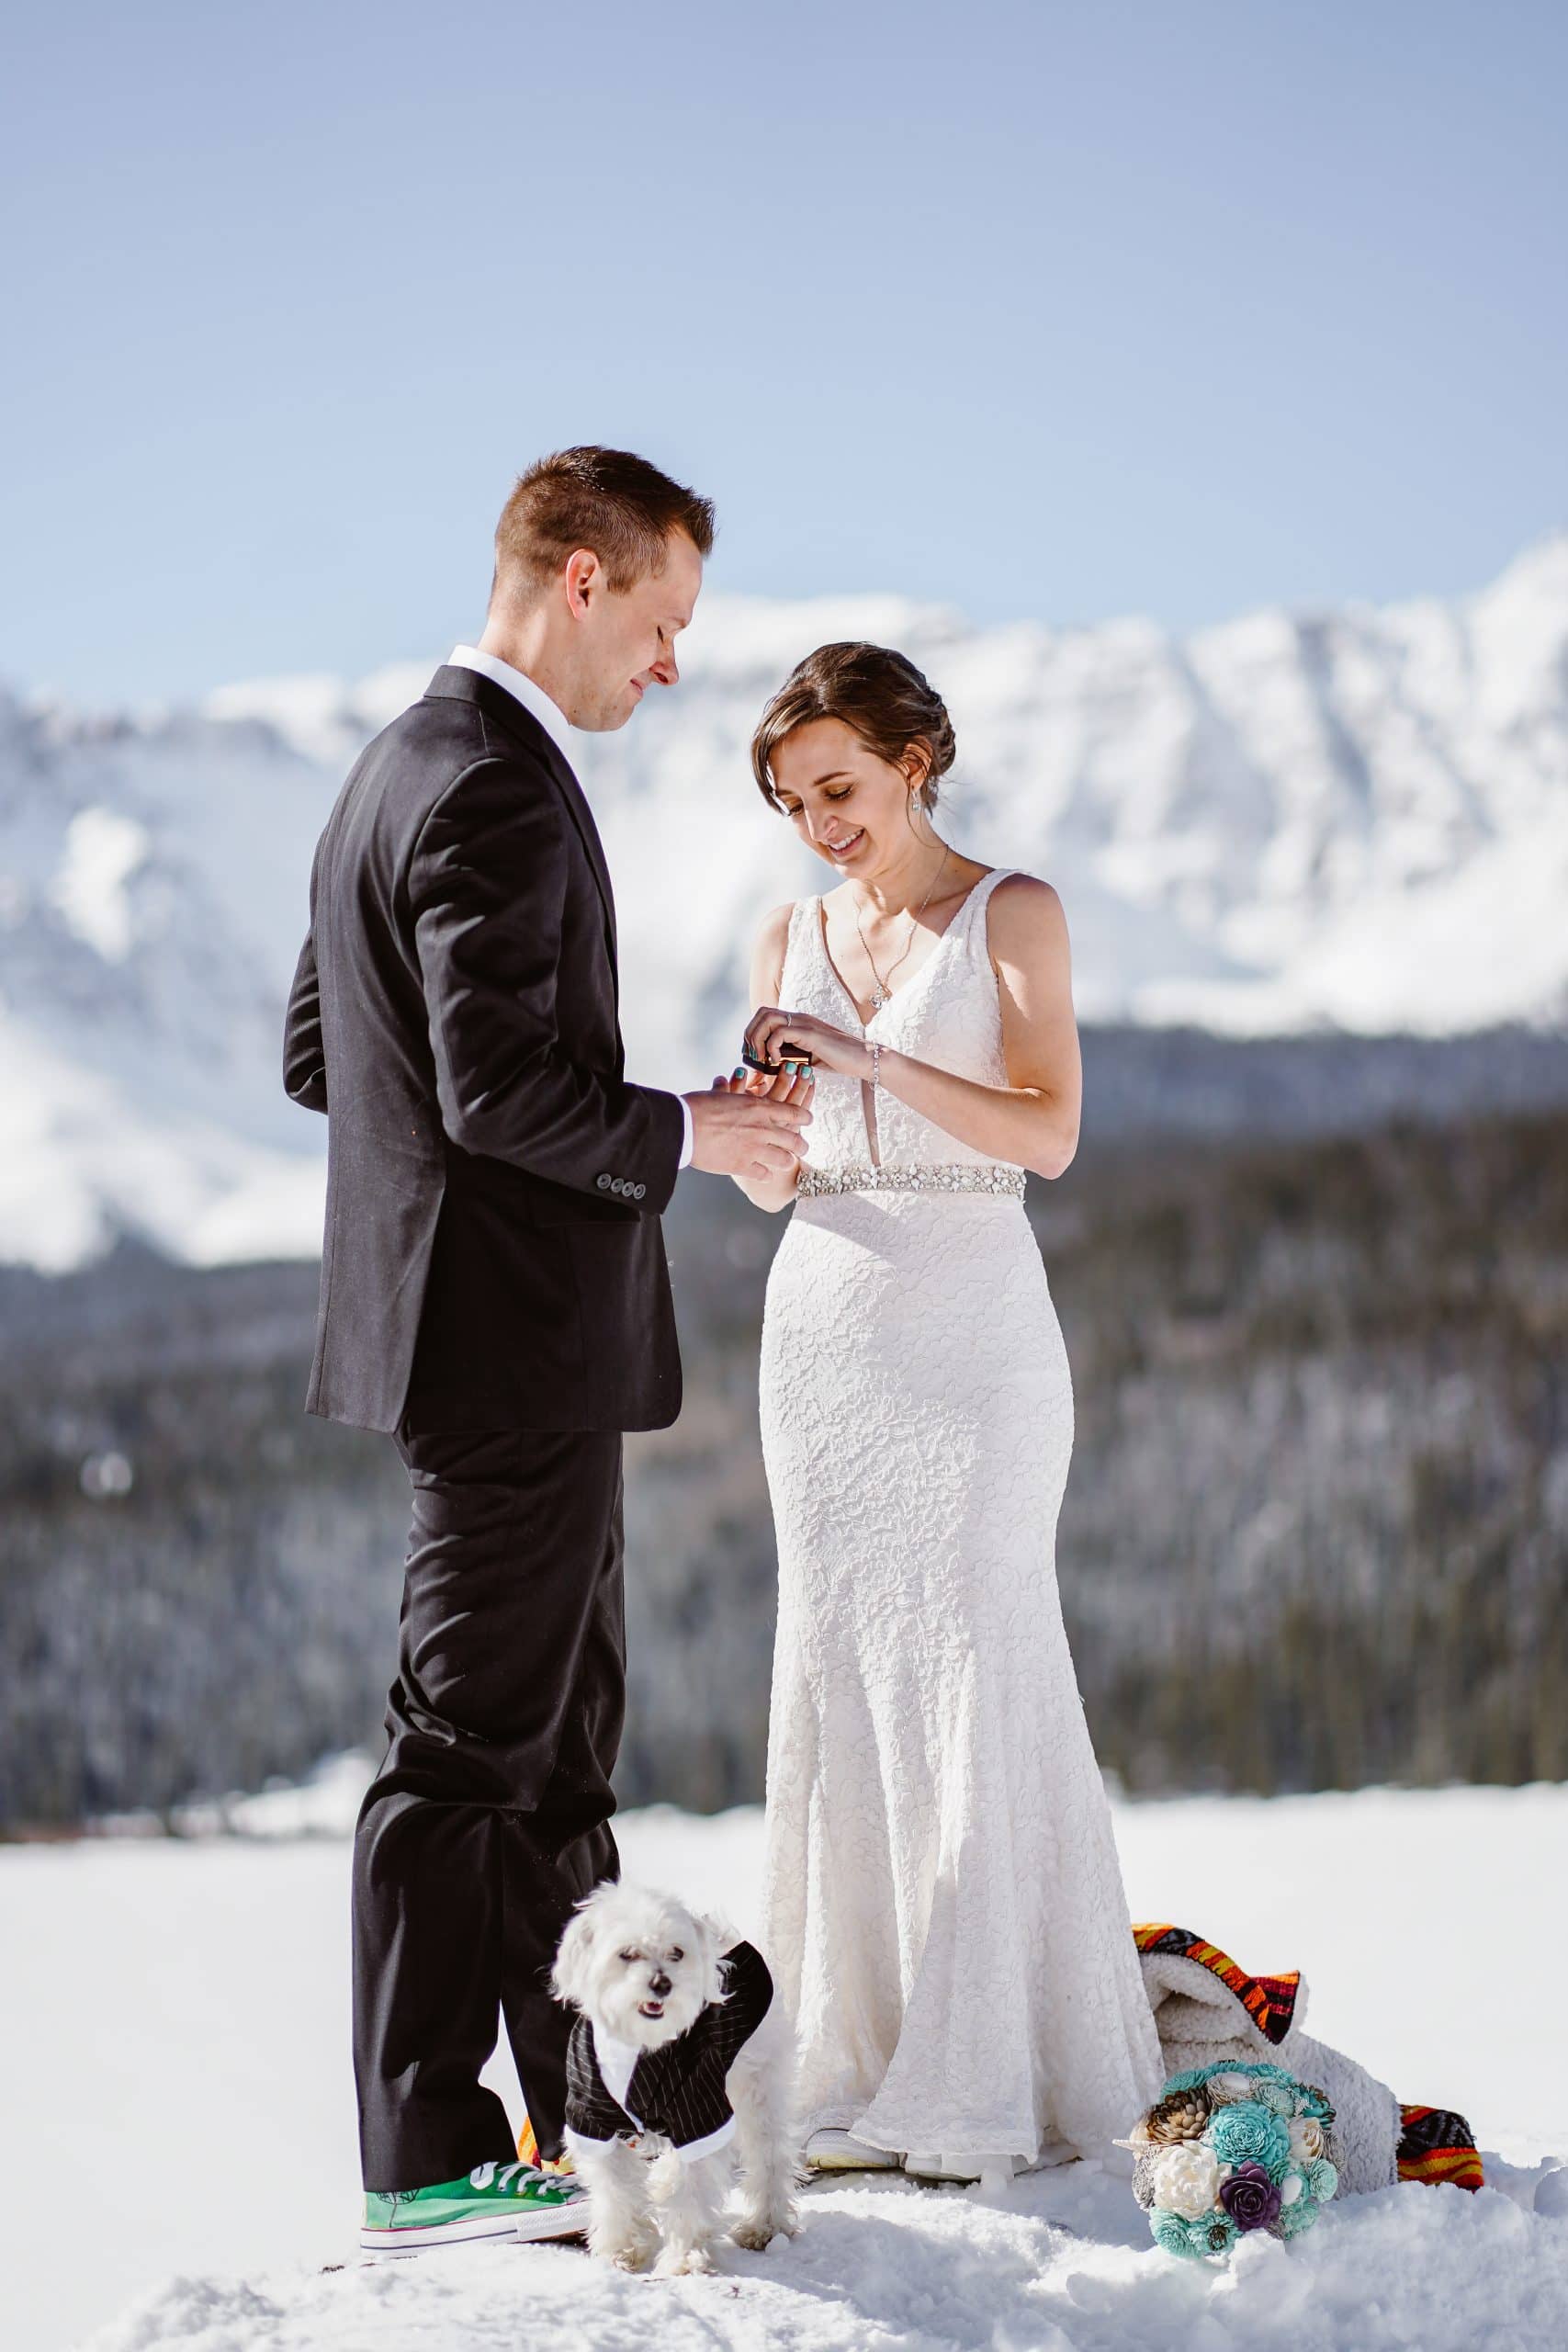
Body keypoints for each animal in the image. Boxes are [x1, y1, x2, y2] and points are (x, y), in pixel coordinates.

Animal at [552, 1871, 799, 2277]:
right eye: (627, 1954)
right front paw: (622, 2250)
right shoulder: (590, 2119)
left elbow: (687, 2192)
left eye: (676, 1953)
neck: (640, 2044)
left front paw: (685, 2258)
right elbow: (616, 2190)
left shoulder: (699, 2111)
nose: (662, 1983)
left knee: (769, 2156)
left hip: (758, 2083)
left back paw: (765, 2226)